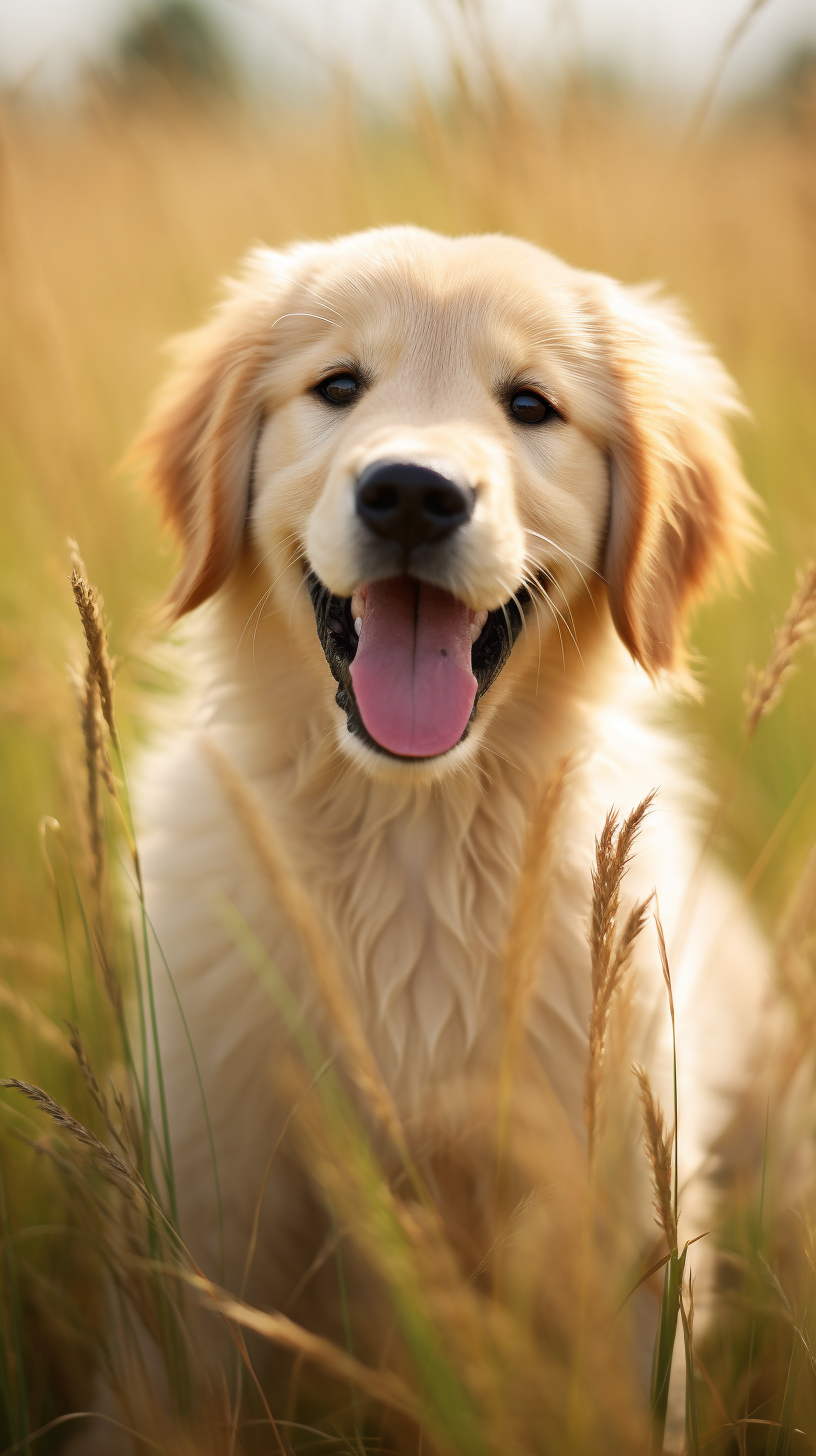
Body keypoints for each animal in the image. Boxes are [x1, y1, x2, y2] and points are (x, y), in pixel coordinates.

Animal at [134, 224, 769, 1374]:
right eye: (339, 385)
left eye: (530, 405)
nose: (413, 493)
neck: (414, 826)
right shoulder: (209, 1185)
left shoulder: (616, 1201)